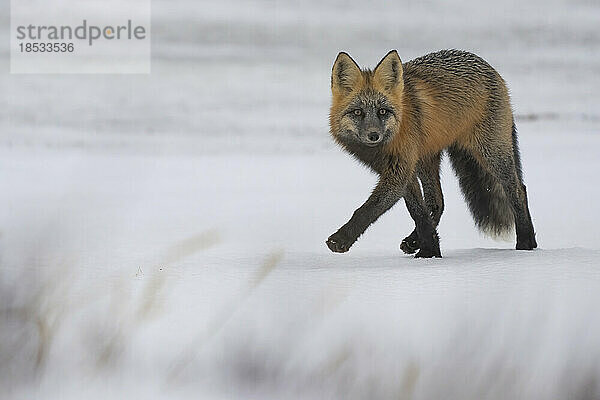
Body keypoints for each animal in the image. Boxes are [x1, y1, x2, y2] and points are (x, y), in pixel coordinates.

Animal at [326, 48, 536, 258]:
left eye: (382, 111)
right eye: (358, 112)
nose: (373, 135)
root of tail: (488, 66)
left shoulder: (399, 171)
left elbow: (368, 209)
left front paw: (340, 239)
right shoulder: (402, 169)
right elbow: (418, 212)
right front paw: (430, 252)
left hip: (491, 154)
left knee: (519, 190)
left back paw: (526, 243)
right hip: (426, 160)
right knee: (437, 202)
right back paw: (414, 241)